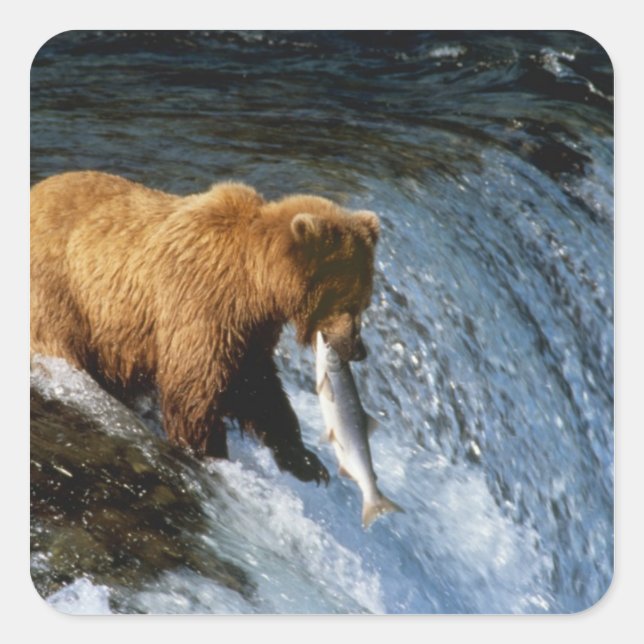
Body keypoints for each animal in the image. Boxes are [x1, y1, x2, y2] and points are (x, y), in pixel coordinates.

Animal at [30, 171, 380, 484]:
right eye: (351, 304)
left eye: (365, 303)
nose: (359, 350)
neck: (258, 284)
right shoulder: (202, 302)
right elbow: (195, 388)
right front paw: (210, 453)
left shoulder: (249, 329)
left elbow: (258, 387)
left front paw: (306, 461)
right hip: (61, 295)